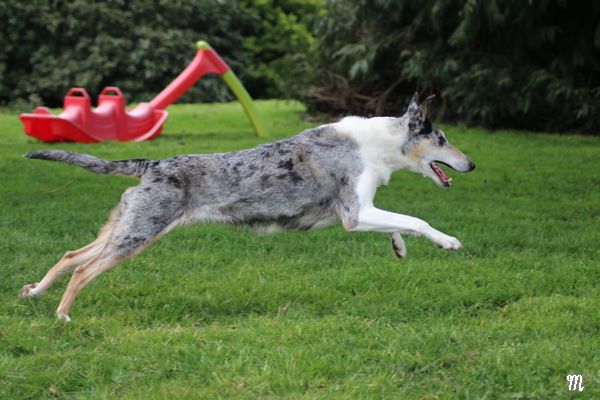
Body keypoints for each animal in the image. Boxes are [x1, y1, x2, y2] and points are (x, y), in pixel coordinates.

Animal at [19, 92, 474, 320]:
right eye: (442, 139)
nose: (471, 164)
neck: (378, 145)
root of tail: (151, 163)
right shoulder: (354, 214)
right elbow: (417, 218)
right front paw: (448, 242)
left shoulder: (362, 210)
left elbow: (400, 221)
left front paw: (398, 247)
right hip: (138, 233)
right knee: (82, 270)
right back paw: (62, 316)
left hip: (127, 226)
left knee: (70, 255)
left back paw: (34, 292)